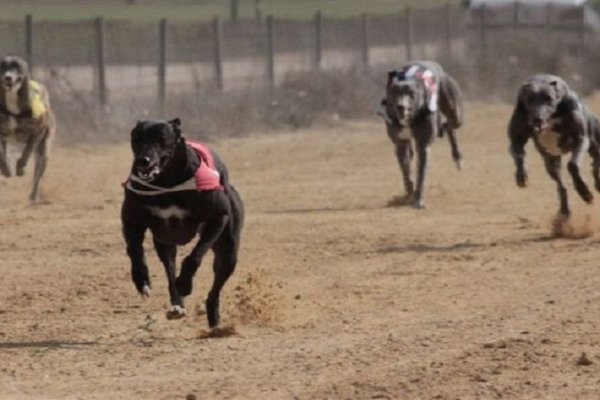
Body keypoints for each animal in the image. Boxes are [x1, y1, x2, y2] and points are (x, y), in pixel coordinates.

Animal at [0, 54, 55, 202]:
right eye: (2, 66)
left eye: (17, 66)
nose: (8, 77)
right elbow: (2, 155)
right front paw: (6, 169)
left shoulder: (38, 131)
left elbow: (27, 152)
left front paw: (20, 168)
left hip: (44, 151)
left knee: (38, 176)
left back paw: (34, 197)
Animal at [120, 119, 245, 328]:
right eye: (136, 137)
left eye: (162, 138)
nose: (143, 160)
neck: (167, 183)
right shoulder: (131, 220)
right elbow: (135, 251)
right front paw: (142, 280)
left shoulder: (218, 217)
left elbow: (194, 257)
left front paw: (185, 283)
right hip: (164, 242)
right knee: (169, 268)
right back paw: (177, 304)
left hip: (228, 250)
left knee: (216, 285)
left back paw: (213, 317)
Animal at [378, 61, 466, 209]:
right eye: (394, 92)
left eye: (411, 93)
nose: (400, 106)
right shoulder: (400, 143)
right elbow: (406, 172)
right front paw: (409, 194)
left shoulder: (423, 144)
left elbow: (421, 173)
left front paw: (418, 199)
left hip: (455, 112)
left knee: (450, 126)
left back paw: (457, 157)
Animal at [508, 74, 600, 216]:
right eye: (530, 99)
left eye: (549, 98)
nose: (537, 118)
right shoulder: (516, 140)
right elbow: (519, 154)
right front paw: (522, 175)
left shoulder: (581, 139)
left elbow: (572, 165)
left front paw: (584, 192)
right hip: (551, 162)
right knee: (561, 185)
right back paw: (564, 209)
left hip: (594, 144)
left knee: (595, 161)